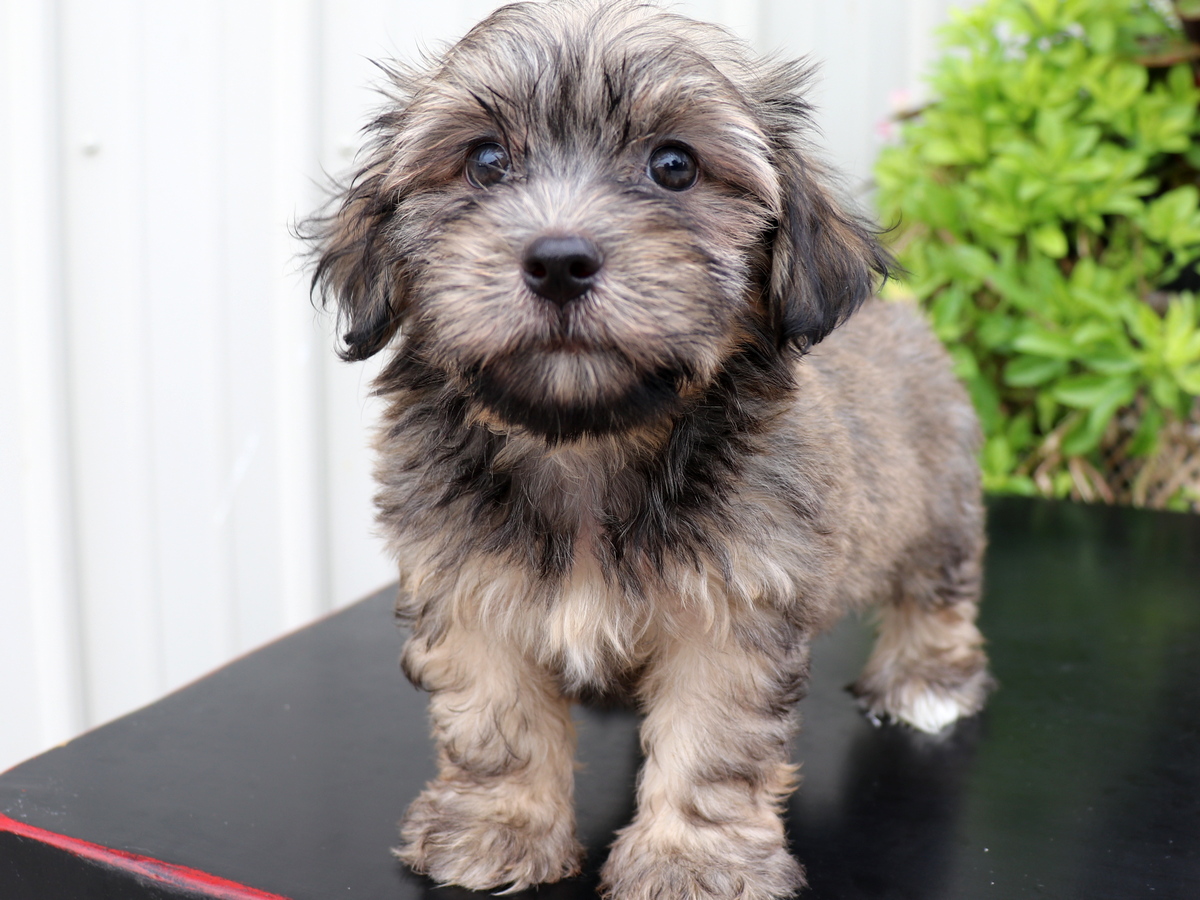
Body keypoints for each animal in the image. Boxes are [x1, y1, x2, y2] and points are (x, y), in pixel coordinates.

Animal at [306, 1, 991, 897]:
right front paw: (498, 826)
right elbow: (495, 720)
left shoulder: (732, 612)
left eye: (674, 166)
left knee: (935, 594)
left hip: (938, 504)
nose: (560, 261)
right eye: (485, 161)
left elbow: (709, 743)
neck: (588, 441)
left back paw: (926, 683)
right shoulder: (470, 590)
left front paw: (691, 859)